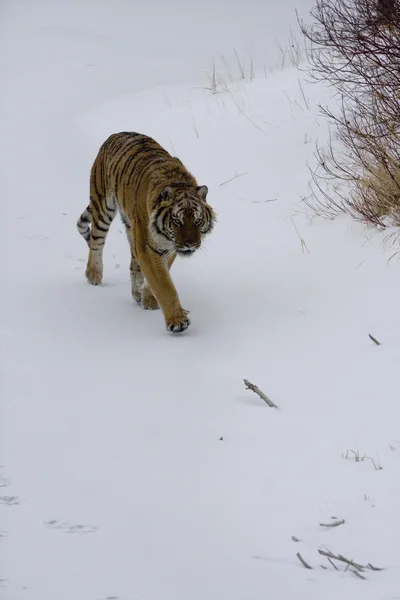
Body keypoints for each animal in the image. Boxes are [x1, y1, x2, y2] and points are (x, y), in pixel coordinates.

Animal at [77, 132, 217, 336]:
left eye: (197, 220)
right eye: (177, 221)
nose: (191, 244)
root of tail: (116, 134)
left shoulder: (167, 247)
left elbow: (158, 276)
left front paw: (149, 299)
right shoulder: (149, 246)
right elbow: (164, 285)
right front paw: (177, 321)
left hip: (131, 227)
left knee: (133, 263)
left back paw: (136, 293)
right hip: (103, 205)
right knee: (96, 242)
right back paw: (94, 275)